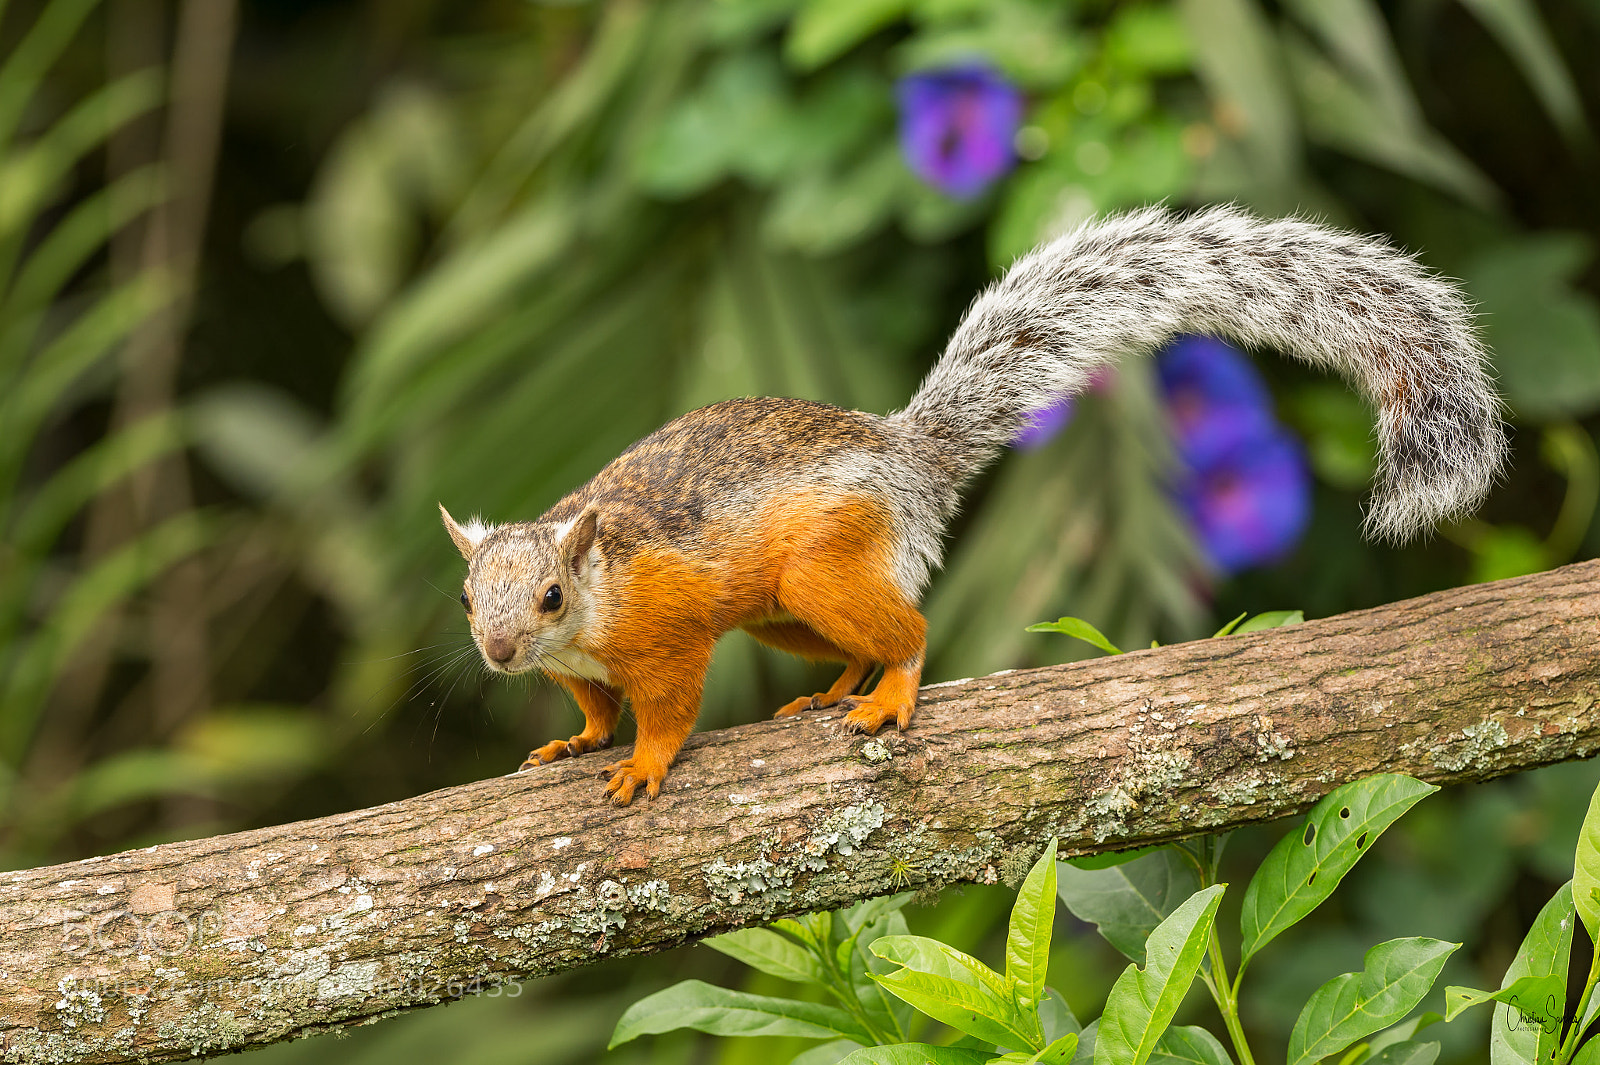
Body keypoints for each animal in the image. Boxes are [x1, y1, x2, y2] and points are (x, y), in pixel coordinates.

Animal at [440, 205, 1506, 806]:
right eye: (465, 597)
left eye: (549, 595)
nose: (497, 651)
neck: (595, 600)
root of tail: (909, 460)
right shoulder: (580, 666)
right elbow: (592, 706)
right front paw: (577, 739)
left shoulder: (665, 633)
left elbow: (666, 708)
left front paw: (643, 762)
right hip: (786, 613)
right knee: (855, 642)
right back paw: (832, 692)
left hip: (821, 567)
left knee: (906, 632)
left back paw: (889, 694)